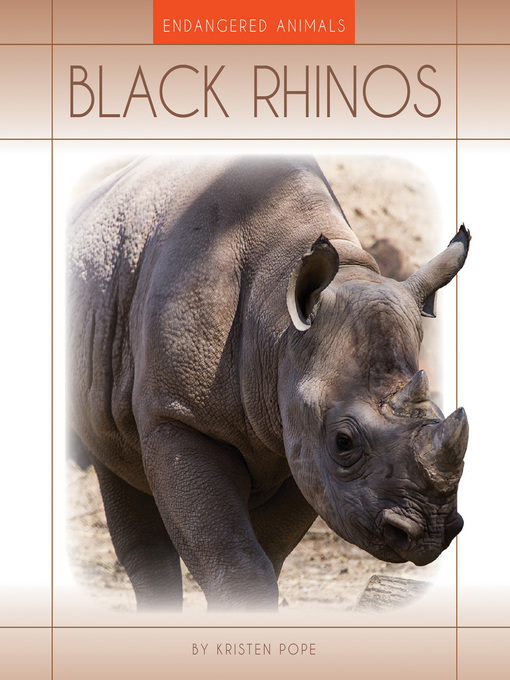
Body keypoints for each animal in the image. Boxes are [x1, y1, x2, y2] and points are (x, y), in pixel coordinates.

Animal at [67, 156, 470, 611]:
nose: (430, 532)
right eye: (343, 442)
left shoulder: (297, 439)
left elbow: (270, 549)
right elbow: (235, 559)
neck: (277, 326)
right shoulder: (176, 417)